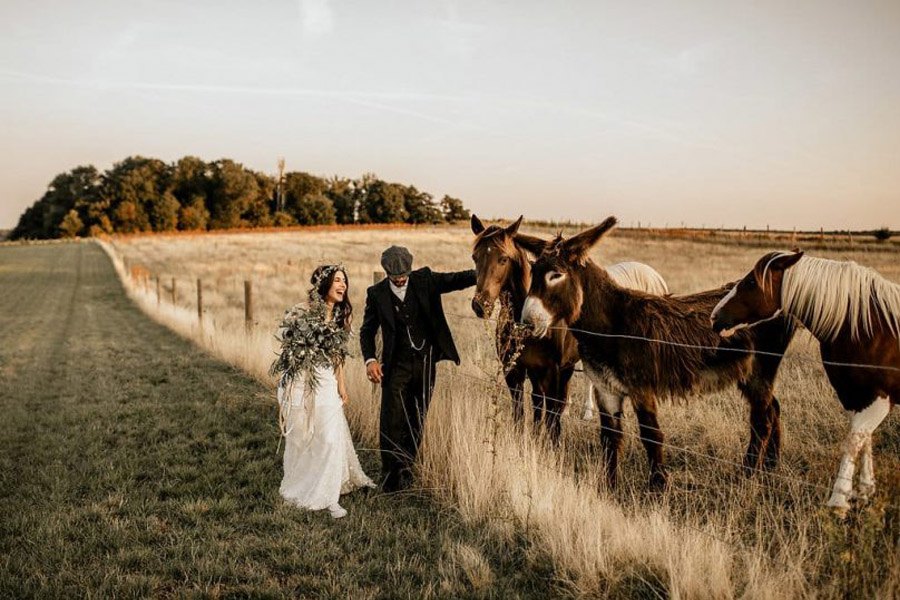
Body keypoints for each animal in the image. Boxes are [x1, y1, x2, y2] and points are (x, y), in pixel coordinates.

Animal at [472, 214, 668, 440]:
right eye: (474, 257)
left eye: (503, 259)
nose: (480, 305)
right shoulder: (515, 370)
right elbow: (526, 408)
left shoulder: (554, 370)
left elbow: (551, 413)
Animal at [520, 218, 796, 490]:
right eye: (533, 272)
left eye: (556, 275)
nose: (527, 323)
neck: (614, 324)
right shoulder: (605, 389)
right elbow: (610, 437)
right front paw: (609, 487)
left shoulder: (642, 388)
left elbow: (651, 435)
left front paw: (658, 487)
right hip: (748, 372)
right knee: (773, 408)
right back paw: (771, 466)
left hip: (760, 369)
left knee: (762, 420)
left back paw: (747, 476)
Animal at [712, 251, 896, 512]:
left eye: (751, 282)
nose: (714, 316)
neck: (867, 328)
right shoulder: (854, 396)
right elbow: (863, 440)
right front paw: (863, 493)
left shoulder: (879, 399)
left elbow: (853, 441)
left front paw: (839, 501)